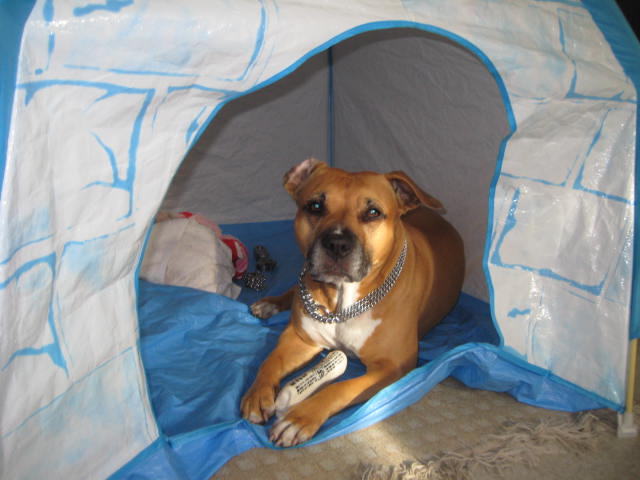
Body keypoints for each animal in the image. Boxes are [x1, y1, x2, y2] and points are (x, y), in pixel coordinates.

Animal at [241, 158, 464, 447]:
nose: (337, 244)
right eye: (315, 206)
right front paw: (258, 394)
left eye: (373, 212)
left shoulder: (392, 366)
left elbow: (341, 387)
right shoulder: (301, 339)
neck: (341, 304)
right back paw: (269, 304)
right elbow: (271, 360)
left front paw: (299, 418)